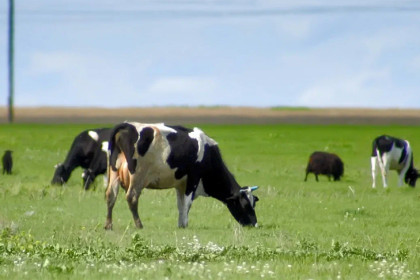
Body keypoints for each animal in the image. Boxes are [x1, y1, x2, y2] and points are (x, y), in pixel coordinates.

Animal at [104, 122, 260, 230]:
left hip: (114, 173)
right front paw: (184, 224)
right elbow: (187, 203)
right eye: (245, 204)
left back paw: (108, 225)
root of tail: (127, 125)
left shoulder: (180, 184)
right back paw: (139, 224)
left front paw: (180, 224)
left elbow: (180, 204)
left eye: (254, 203)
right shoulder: (193, 179)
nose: (255, 224)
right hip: (137, 176)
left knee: (111, 195)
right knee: (132, 197)